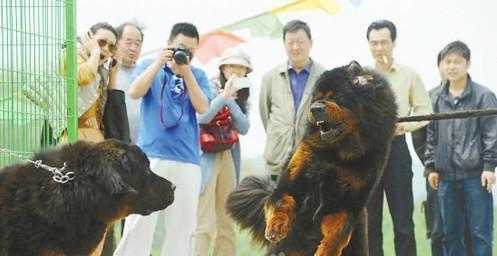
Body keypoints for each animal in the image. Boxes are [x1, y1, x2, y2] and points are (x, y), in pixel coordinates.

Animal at [228, 62, 396, 256]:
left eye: (336, 96)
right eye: (315, 98)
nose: (314, 108)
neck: (337, 152)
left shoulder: (346, 202)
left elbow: (339, 231)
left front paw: (326, 251)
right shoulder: (292, 180)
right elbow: (281, 201)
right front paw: (276, 227)